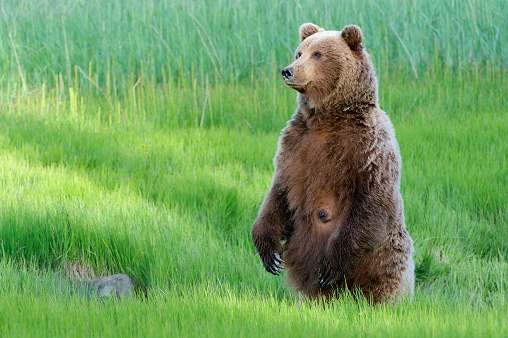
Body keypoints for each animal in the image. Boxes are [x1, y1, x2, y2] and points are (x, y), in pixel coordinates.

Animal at [252, 23, 414, 304]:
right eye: (299, 53)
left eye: (317, 54)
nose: (287, 70)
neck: (327, 119)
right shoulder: (295, 146)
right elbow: (279, 193)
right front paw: (270, 254)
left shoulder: (367, 148)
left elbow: (371, 199)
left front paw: (330, 266)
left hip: (382, 259)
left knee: (381, 285)